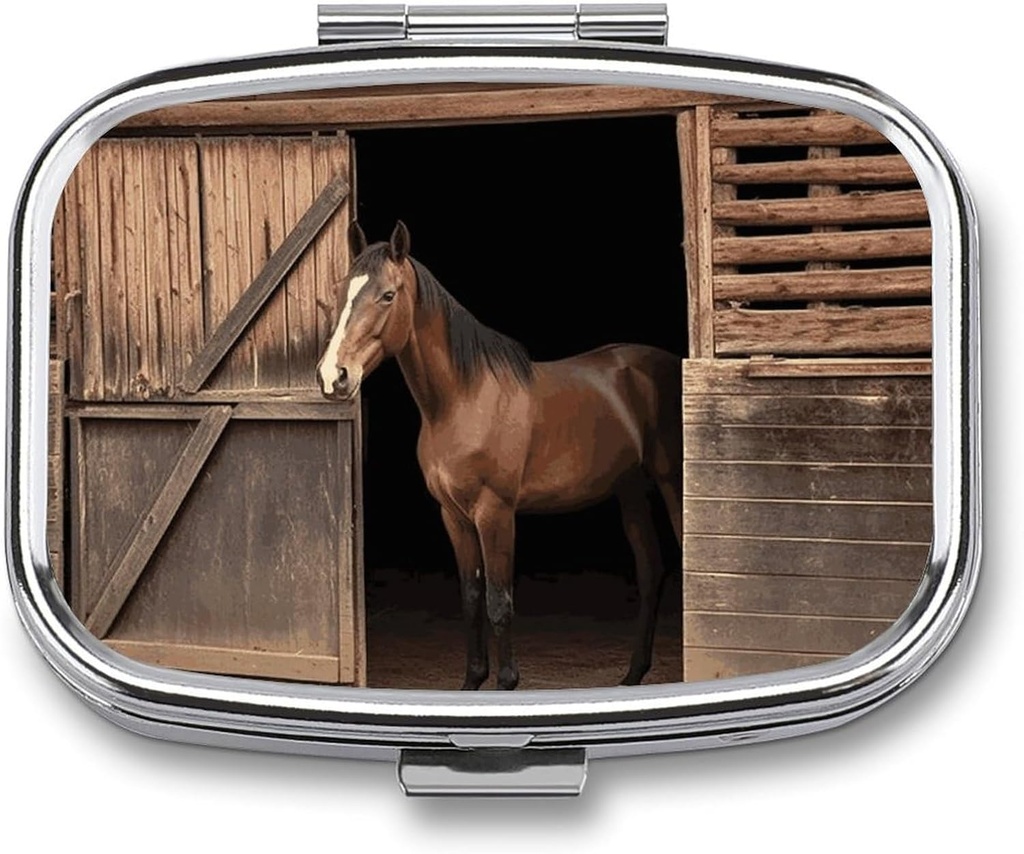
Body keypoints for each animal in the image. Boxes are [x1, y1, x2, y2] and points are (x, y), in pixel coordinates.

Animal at [317, 221, 682, 690]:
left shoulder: (496, 512)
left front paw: (506, 681)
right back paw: (633, 674)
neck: (464, 399)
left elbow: (498, 599)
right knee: (651, 571)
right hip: (631, 490)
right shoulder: (453, 516)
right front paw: (473, 680)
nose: (334, 376)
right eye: (342, 290)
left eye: (387, 295)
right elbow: (472, 597)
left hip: (673, 485)